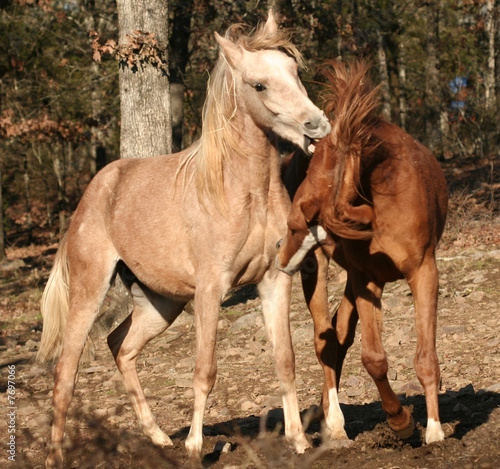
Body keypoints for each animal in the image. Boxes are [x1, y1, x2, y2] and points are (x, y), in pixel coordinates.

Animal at [37, 11, 330, 468]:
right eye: (258, 85)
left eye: (295, 71)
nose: (316, 125)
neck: (244, 192)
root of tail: (92, 194)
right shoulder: (211, 290)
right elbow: (204, 370)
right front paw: (194, 447)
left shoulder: (273, 281)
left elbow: (285, 360)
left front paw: (299, 442)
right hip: (90, 290)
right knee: (65, 370)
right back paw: (56, 456)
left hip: (160, 303)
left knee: (120, 346)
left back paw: (158, 438)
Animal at [278, 61, 450, 446]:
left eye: (303, 222)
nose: (282, 261)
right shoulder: (365, 279)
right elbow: (373, 358)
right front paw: (401, 422)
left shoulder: (423, 272)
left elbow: (425, 357)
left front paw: (433, 429)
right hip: (326, 275)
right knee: (326, 341)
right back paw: (336, 426)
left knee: (339, 336)